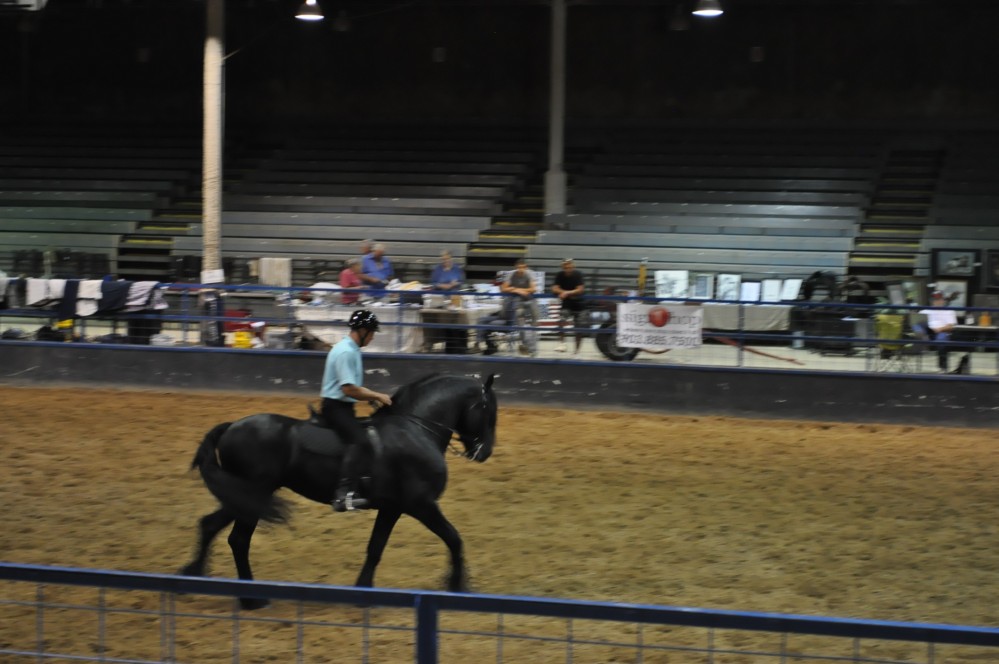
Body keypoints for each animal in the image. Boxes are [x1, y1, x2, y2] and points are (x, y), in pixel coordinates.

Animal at [181, 374, 500, 608]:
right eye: (489, 411)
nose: (484, 452)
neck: (414, 429)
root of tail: (232, 426)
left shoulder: (392, 507)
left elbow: (375, 548)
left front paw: (363, 591)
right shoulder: (421, 504)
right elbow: (454, 539)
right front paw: (458, 586)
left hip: (245, 497)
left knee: (210, 525)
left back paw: (193, 575)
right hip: (253, 495)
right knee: (238, 540)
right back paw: (250, 598)